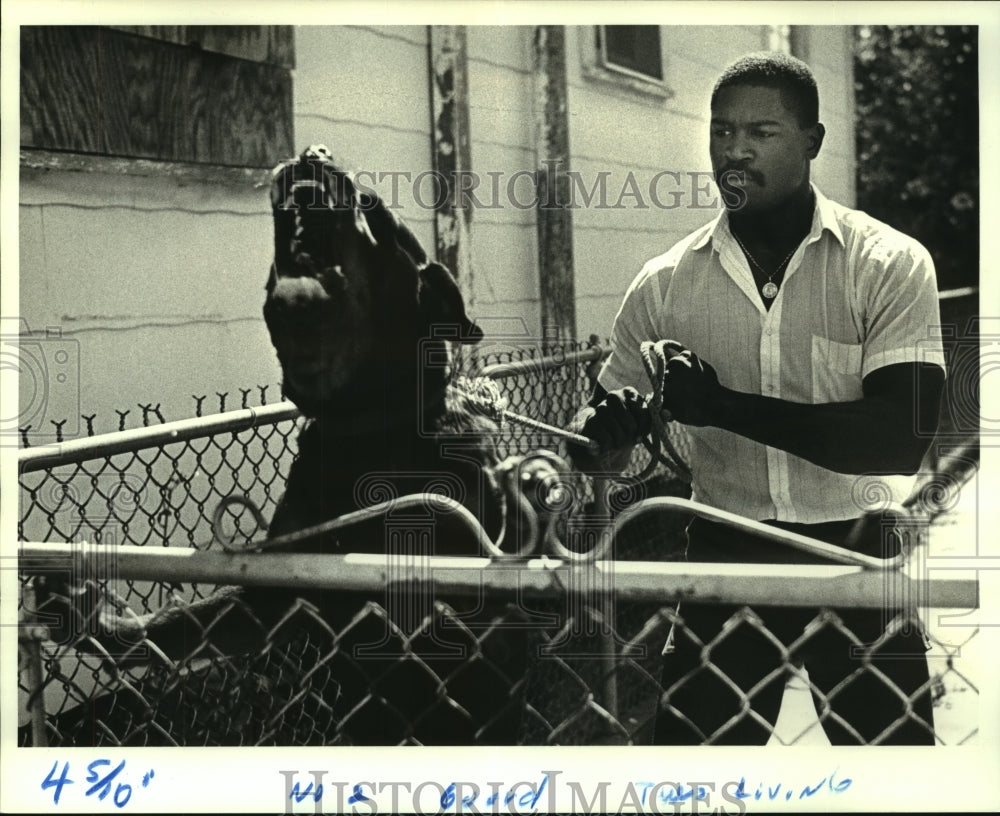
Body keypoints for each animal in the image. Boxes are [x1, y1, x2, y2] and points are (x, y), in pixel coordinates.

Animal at [31, 147, 560, 744]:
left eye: (372, 208)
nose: (315, 153)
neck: (365, 437)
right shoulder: (272, 591)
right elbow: (179, 624)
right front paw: (93, 618)